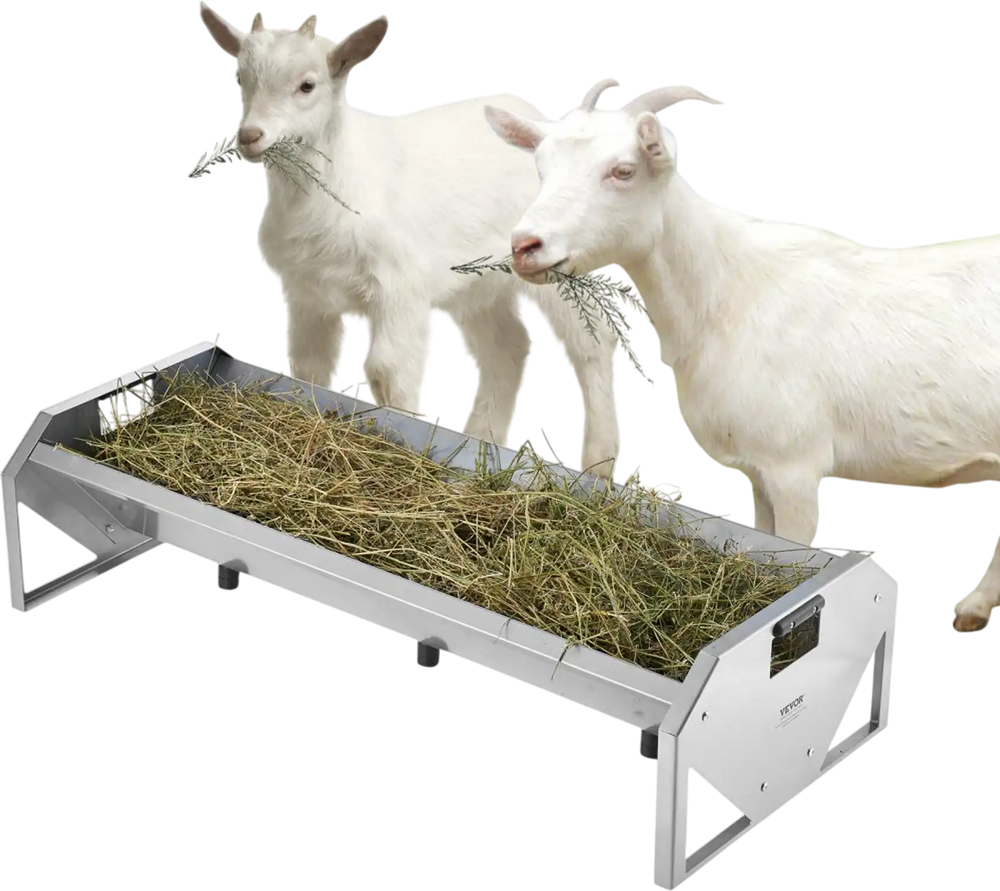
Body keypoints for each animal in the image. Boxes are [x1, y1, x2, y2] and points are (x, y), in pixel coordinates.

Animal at [194, 4, 627, 480]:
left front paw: (401, 440)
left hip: (557, 265)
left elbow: (387, 369)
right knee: (508, 348)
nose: (250, 136)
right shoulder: (309, 296)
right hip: (479, 285)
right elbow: (309, 366)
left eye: (307, 84)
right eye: (240, 78)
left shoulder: (400, 293)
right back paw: (482, 442)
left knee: (592, 341)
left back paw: (599, 467)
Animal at [484, 77, 1000, 634]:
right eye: (541, 166)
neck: (728, 290)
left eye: (623, 170)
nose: (526, 246)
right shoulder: (759, 467)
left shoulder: (796, 465)